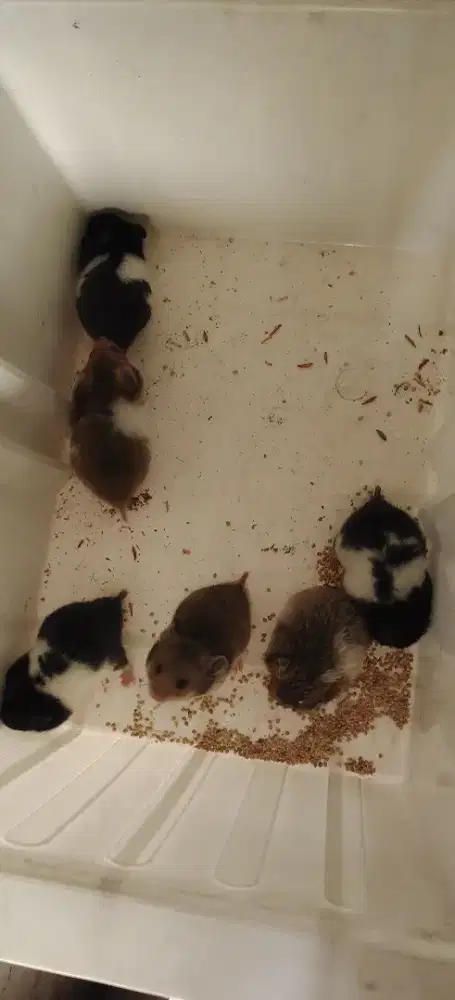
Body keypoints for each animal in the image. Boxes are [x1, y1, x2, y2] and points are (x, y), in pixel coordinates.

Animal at [0, 591, 129, 732]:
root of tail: (112, 605)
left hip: (113, 645)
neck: (40, 683)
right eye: (7, 685)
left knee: (122, 656)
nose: (3, 717)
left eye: (35, 722)